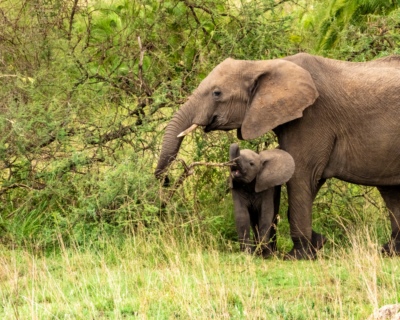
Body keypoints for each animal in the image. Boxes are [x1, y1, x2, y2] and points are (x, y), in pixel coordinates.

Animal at [155, 53, 400, 260]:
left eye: (217, 93)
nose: (165, 181)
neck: (262, 64)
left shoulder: (311, 116)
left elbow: (300, 175)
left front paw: (297, 256)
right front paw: (315, 243)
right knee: (390, 191)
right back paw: (388, 251)